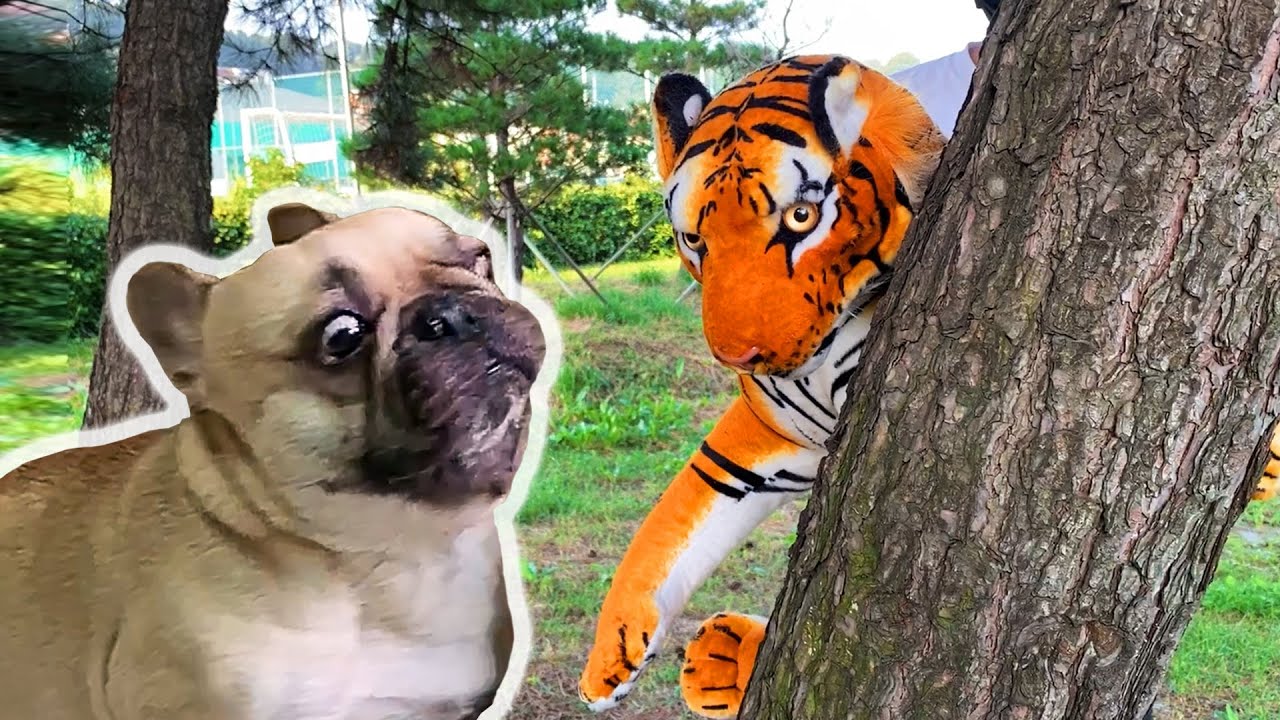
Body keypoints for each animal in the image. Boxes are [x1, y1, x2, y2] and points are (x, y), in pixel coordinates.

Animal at [576, 54, 1280, 719]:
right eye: (695, 238)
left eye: (801, 217)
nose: (736, 354)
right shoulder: (769, 435)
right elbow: (668, 526)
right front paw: (608, 660)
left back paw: (719, 660)